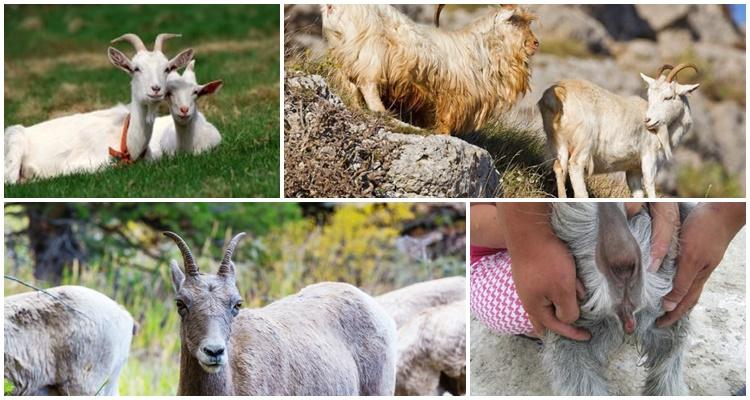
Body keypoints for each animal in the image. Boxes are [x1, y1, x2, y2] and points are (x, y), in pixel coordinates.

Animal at [4, 33, 193, 183]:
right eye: (135, 68)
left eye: (167, 68)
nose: (156, 89)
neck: (128, 141)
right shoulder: (80, 163)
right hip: (14, 140)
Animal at [322, 5, 538, 134]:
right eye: (514, 20)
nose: (535, 43)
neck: (478, 51)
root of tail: (333, 8)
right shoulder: (451, 100)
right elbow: (444, 125)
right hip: (371, 56)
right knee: (370, 91)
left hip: (346, 57)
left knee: (352, 90)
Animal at [539, 63, 700, 198]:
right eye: (650, 96)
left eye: (668, 97)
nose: (648, 120)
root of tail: (557, 96)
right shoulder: (649, 157)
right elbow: (650, 186)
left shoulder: (633, 168)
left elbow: (638, 193)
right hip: (584, 142)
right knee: (575, 165)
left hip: (558, 141)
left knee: (559, 167)